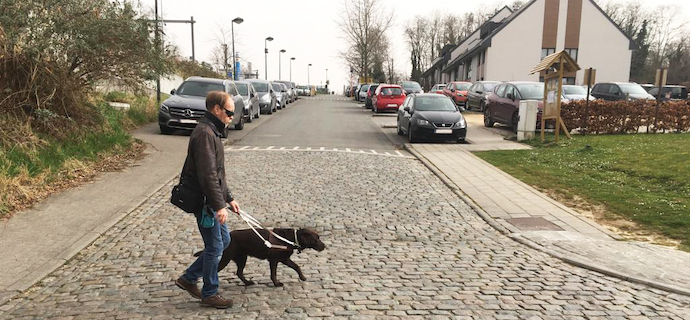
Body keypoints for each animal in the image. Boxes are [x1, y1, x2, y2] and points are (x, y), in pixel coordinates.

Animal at [194, 228, 322, 288]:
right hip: (226, 258)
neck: (290, 238)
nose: (324, 246)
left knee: (239, 273)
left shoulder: (285, 259)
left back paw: (248, 282)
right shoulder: (274, 260)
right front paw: (276, 283)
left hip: (242, 258)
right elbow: (273, 274)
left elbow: (296, 266)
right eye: (316, 239)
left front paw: (303, 277)